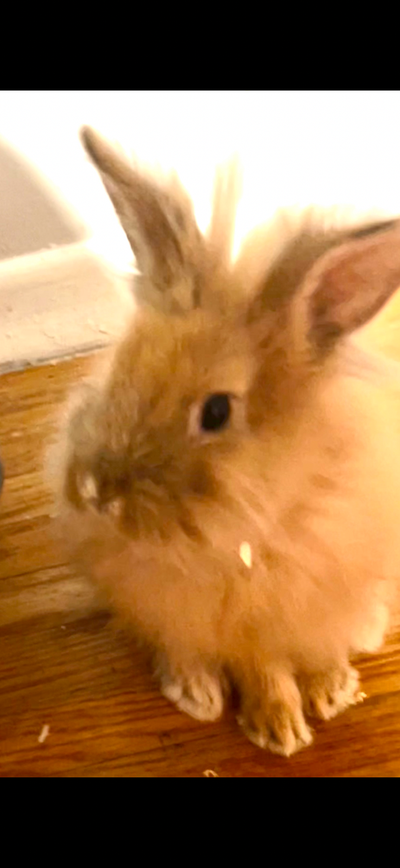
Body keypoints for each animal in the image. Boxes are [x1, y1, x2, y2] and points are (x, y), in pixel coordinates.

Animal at [53, 126, 400, 757]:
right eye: (123, 367)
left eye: (216, 412)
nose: (95, 494)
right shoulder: (232, 625)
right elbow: (260, 666)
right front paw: (278, 727)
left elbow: (315, 646)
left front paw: (327, 693)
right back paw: (194, 691)